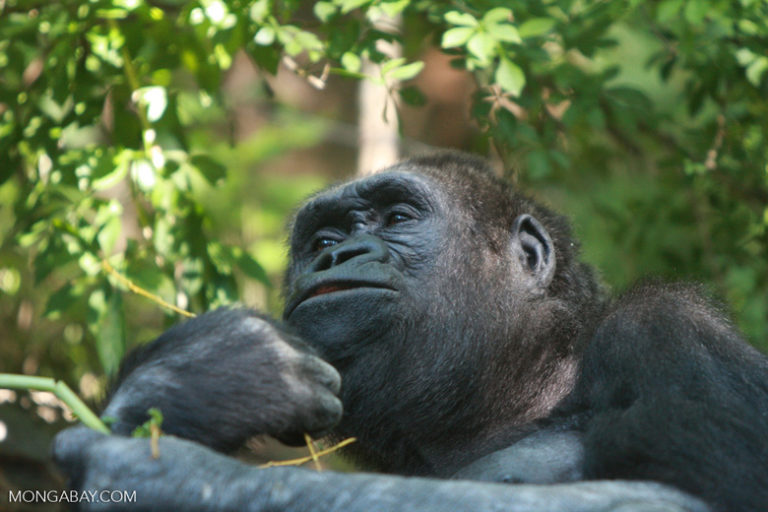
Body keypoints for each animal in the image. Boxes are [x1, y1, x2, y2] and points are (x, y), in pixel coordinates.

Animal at [52, 153, 768, 512]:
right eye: (324, 240)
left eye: (397, 217)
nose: (337, 257)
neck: (536, 390)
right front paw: (189, 382)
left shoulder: (669, 334)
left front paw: (163, 468)